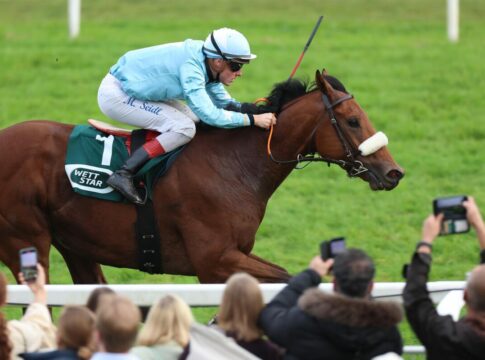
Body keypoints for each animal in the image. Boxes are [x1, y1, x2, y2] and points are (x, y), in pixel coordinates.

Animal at [0, 71, 400, 284]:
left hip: (76, 244)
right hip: (25, 240)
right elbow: (284, 277)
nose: (393, 172)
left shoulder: (232, 256)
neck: (236, 166)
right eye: (353, 120)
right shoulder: (214, 260)